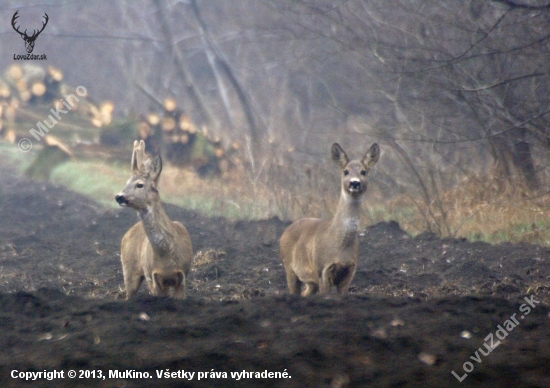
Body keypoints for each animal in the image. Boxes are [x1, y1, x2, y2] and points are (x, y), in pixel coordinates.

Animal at [116, 140, 194, 300]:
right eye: (126, 183)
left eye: (140, 185)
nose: (119, 196)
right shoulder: (153, 277)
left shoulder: (182, 275)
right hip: (129, 269)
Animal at [280, 143, 380, 298]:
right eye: (346, 171)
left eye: (363, 172)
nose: (354, 183)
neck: (339, 245)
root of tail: (284, 232)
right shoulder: (322, 269)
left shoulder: (350, 270)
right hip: (289, 267)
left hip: (310, 280)